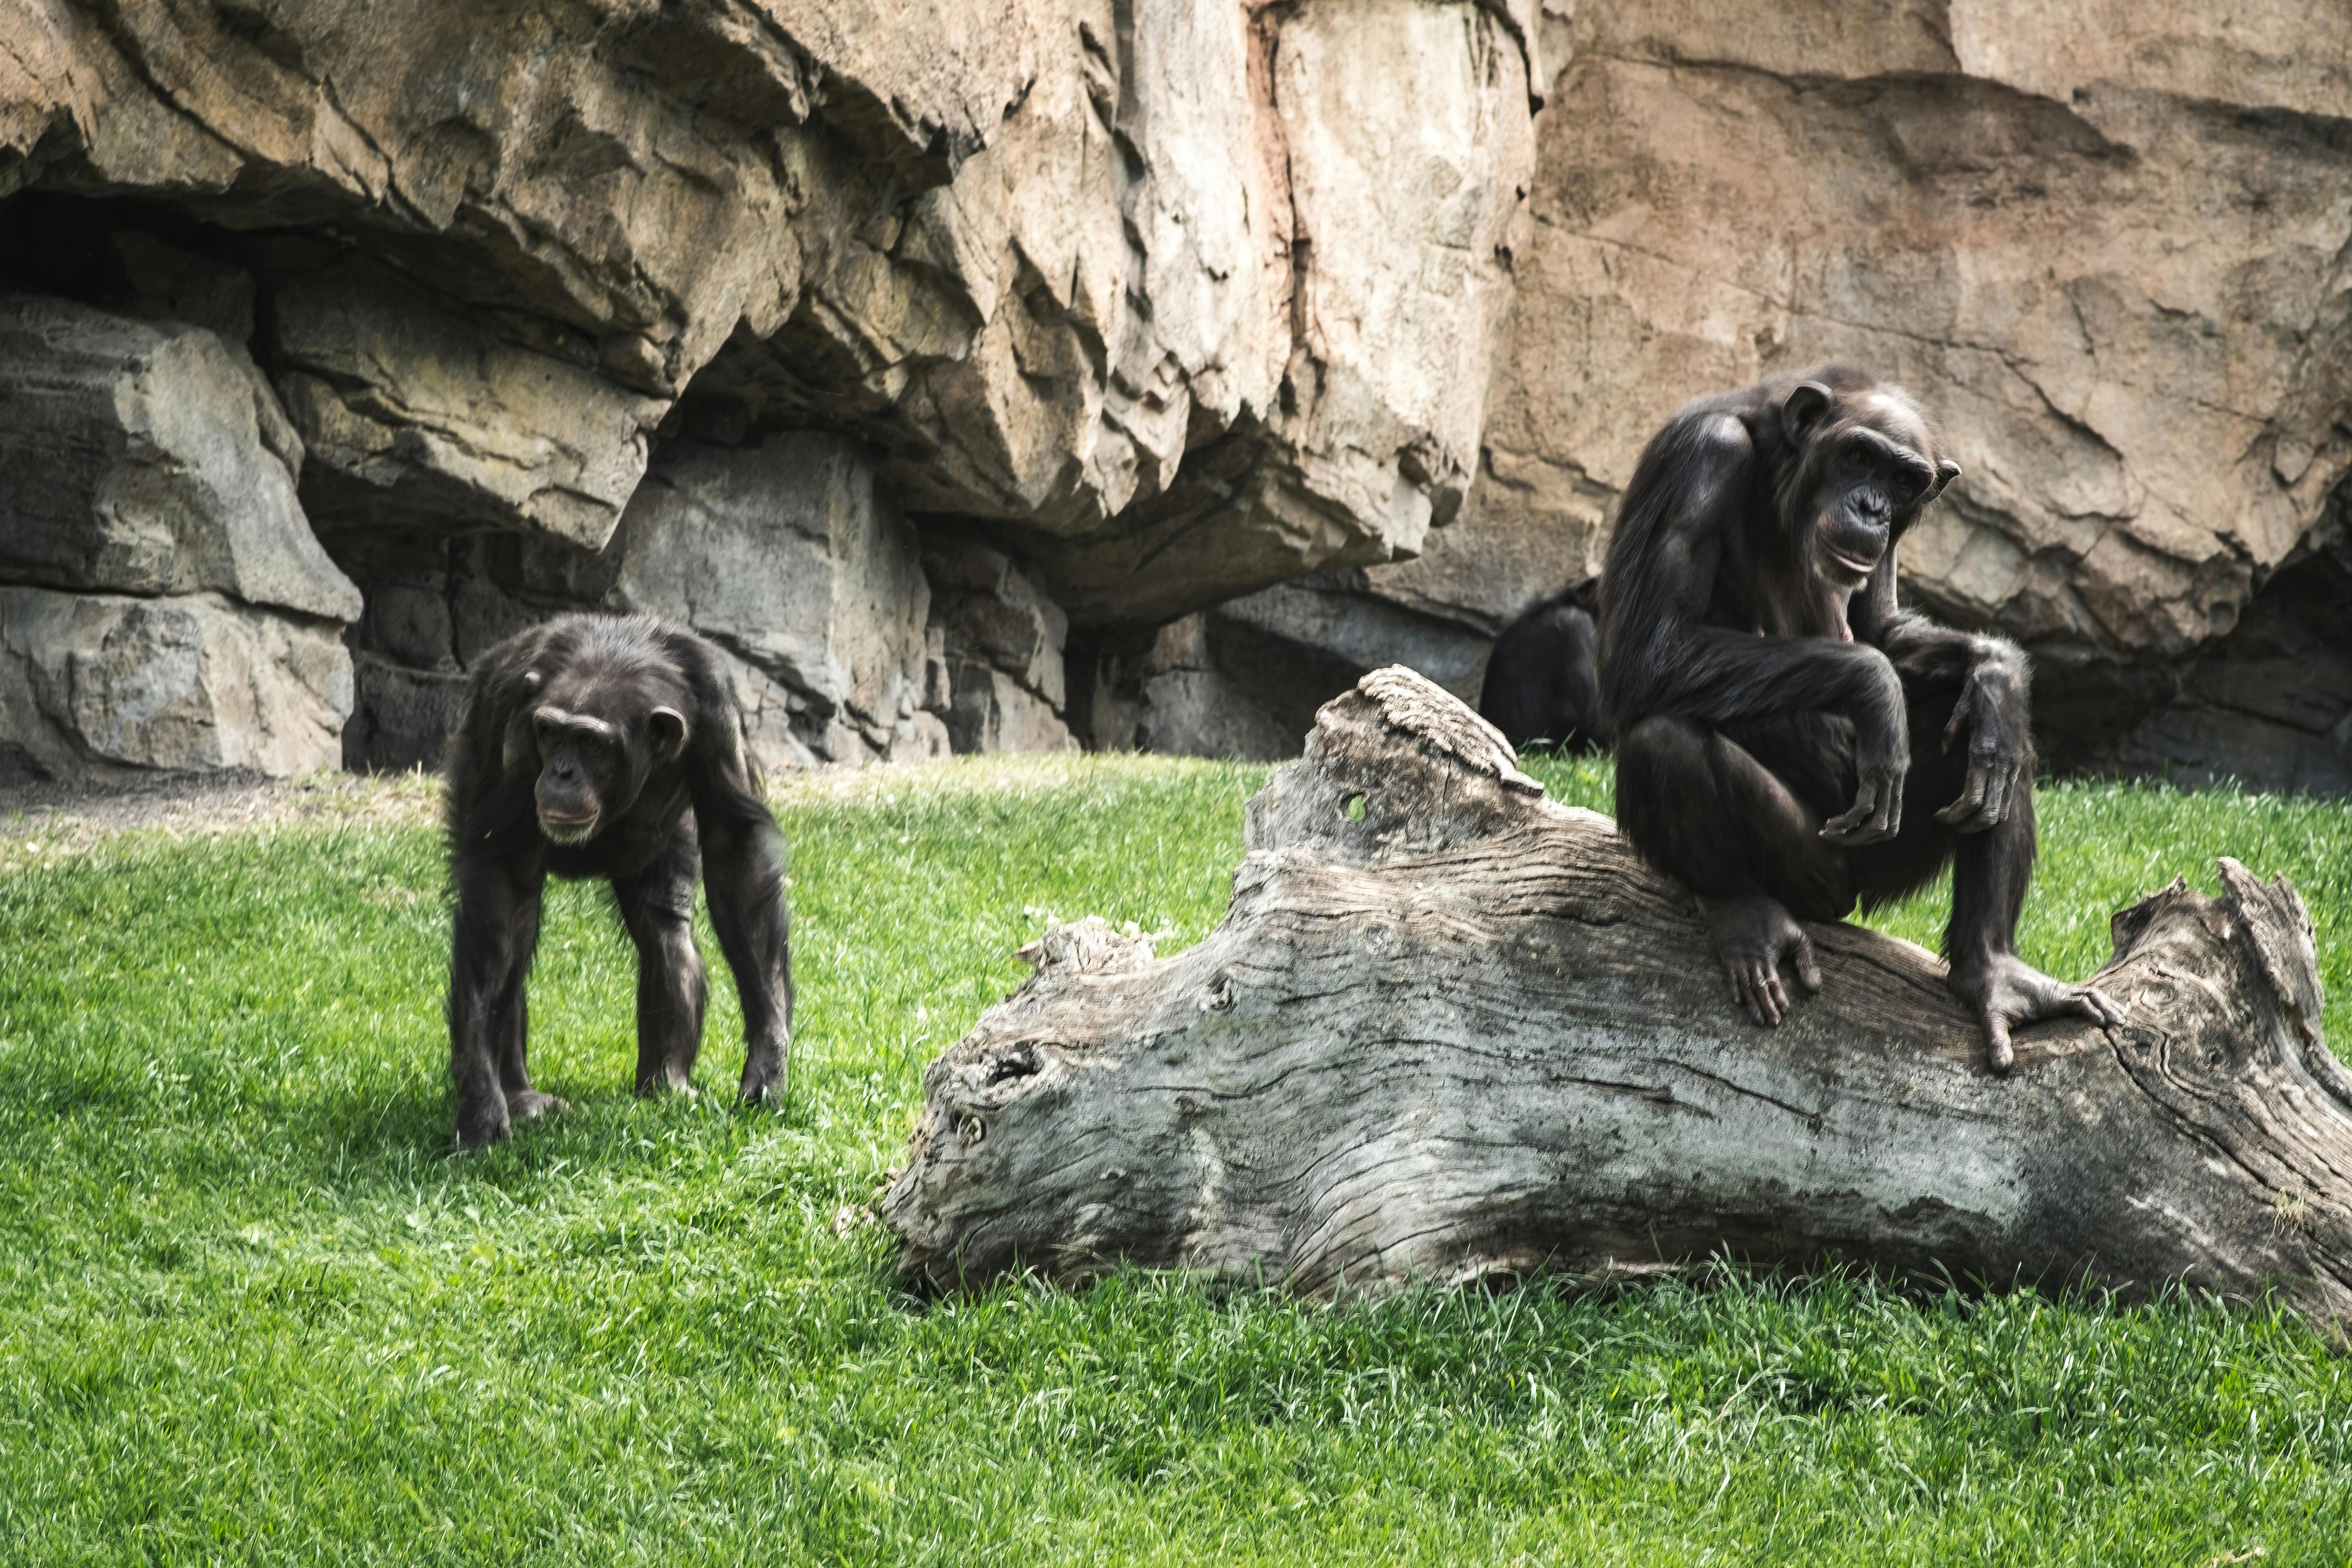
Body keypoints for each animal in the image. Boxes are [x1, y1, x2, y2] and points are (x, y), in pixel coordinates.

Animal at [444, 616, 795, 1152]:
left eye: (590, 743)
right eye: (550, 734)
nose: (562, 773)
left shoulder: (718, 711)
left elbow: (736, 851)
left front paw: (768, 1062)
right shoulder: (514, 718)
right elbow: (501, 880)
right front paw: (482, 1104)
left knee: (665, 927)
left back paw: (665, 1083)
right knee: (515, 937)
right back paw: (521, 1098)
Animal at [1608, 367, 2126, 1072]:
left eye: (1903, 481)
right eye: (1859, 457)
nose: (1873, 509)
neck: (1780, 470)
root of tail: (1851, 898)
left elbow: (1882, 628)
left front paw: (1997, 669)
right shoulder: (1703, 459)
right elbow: (1647, 650)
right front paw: (1874, 688)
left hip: (1890, 858)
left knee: (1997, 744)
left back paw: (1994, 970)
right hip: (1812, 872)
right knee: (1664, 740)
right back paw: (1746, 915)